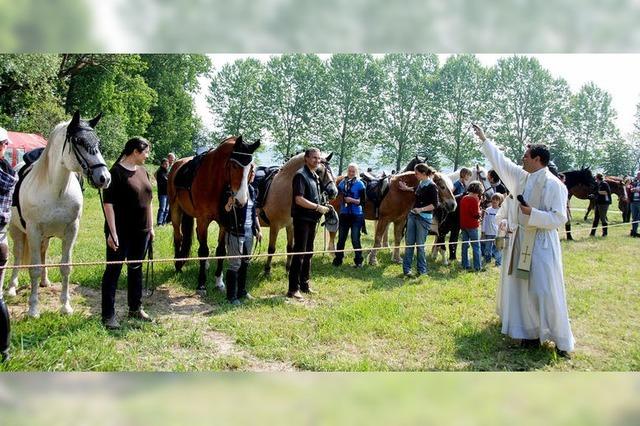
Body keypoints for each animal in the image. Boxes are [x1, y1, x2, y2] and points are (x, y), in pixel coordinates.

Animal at [5, 111, 111, 318]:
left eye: (98, 141)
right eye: (78, 141)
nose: (104, 178)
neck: (56, 190)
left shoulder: (71, 230)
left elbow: (65, 267)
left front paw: (65, 306)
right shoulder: (33, 231)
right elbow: (34, 268)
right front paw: (33, 309)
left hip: (44, 237)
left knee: (43, 252)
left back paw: (45, 281)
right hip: (17, 231)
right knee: (18, 255)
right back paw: (12, 288)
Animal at [170, 136, 262, 292]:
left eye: (251, 168)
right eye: (234, 165)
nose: (241, 200)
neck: (213, 181)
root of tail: (177, 164)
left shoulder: (224, 223)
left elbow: (220, 251)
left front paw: (219, 281)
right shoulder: (203, 220)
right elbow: (203, 250)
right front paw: (201, 283)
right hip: (175, 210)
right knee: (178, 236)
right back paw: (178, 265)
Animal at [328, 171, 458, 264]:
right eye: (442, 186)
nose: (453, 204)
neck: (399, 192)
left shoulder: (400, 221)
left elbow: (397, 239)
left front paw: (396, 258)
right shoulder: (384, 220)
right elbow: (378, 239)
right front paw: (372, 259)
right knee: (332, 234)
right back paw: (333, 253)